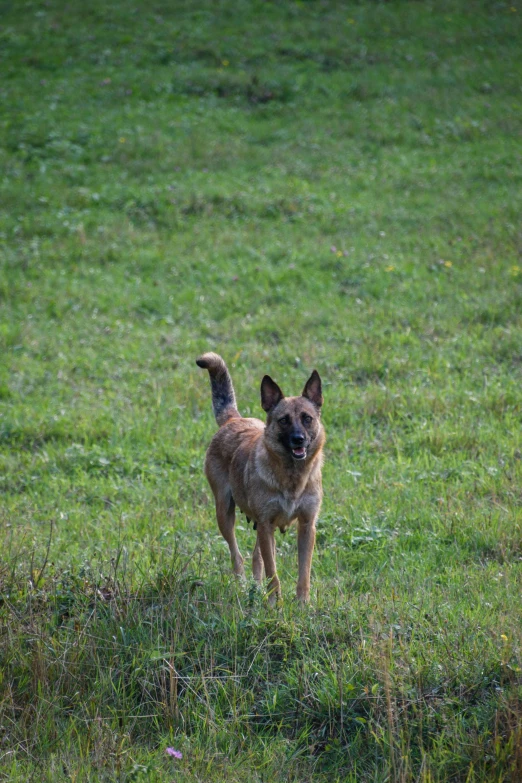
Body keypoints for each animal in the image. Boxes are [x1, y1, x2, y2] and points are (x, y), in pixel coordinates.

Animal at [196, 352, 322, 604]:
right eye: (283, 420)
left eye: (307, 418)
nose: (299, 439)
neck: (292, 478)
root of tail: (232, 420)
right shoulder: (266, 524)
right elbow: (273, 572)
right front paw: (275, 604)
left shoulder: (306, 526)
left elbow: (303, 571)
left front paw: (302, 604)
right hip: (224, 513)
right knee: (237, 556)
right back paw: (243, 586)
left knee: (256, 557)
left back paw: (255, 587)